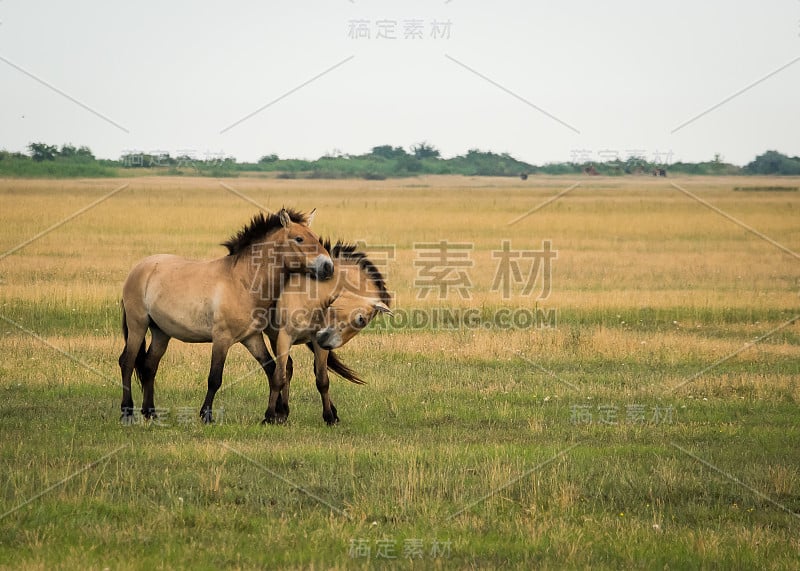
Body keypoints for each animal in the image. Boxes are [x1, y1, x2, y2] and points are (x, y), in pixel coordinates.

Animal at [117, 208, 332, 422]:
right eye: (299, 239)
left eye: (316, 238)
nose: (328, 266)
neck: (243, 281)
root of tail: (139, 268)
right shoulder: (222, 338)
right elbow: (215, 378)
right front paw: (206, 415)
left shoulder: (251, 337)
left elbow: (272, 370)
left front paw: (276, 414)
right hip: (138, 326)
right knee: (127, 362)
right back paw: (127, 411)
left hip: (161, 332)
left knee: (149, 365)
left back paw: (150, 412)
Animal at [264, 240, 392, 424]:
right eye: (361, 319)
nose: (327, 342)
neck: (309, 292)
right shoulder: (284, 338)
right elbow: (278, 377)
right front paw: (268, 416)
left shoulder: (318, 344)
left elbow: (322, 379)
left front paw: (330, 417)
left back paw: (285, 411)